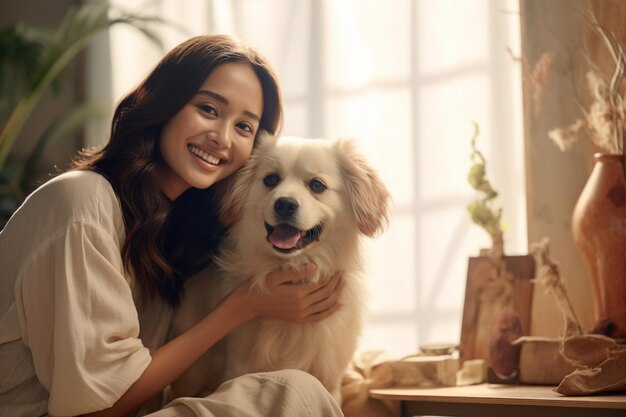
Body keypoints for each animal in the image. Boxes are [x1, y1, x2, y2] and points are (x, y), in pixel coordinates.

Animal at [168, 132, 388, 400]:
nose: (284, 204)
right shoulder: (238, 368)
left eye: (317, 185)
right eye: (270, 179)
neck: (292, 270)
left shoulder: (330, 380)